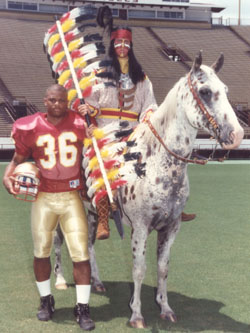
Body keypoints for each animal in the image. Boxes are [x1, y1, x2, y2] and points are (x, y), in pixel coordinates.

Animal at [53, 52, 243, 326]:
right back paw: (58, 281)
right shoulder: (141, 228)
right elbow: (139, 269)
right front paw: (136, 314)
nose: (237, 135)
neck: (155, 163)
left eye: (225, 90)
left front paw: (165, 308)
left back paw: (96, 282)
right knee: (58, 241)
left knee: (88, 245)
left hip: (91, 212)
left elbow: (162, 268)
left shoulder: (171, 227)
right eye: (205, 91)